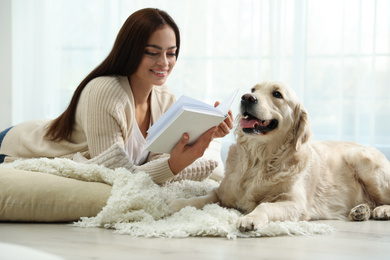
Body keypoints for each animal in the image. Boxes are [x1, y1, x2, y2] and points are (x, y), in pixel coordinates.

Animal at [169, 80, 390, 231]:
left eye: (277, 94)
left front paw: (250, 218)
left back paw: (382, 210)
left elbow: (265, 206)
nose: (246, 98)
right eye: (253, 90)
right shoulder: (223, 192)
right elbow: (203, 197)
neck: (259, 159)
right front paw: (178, 203)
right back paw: (361, 211)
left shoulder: (294, 203)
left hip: (364, 163)